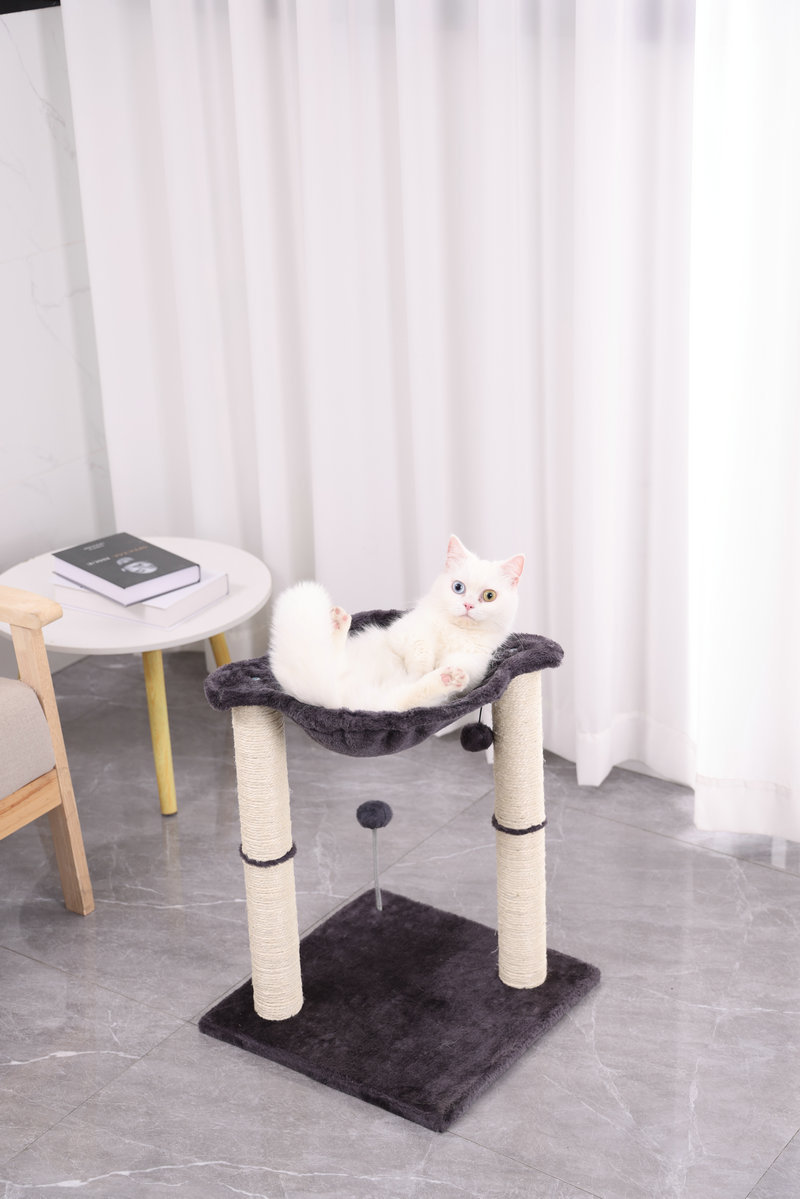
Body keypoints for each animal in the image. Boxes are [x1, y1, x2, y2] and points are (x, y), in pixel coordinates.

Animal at [268, 534, 524, 712]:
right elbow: (421, 649)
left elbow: (461, 668)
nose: (469, 605)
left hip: (385, 703)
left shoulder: (474, 664)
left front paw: (446, 670)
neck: (454, 632)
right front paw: (421, 668)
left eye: (489, 596)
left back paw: (447, 678)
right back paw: (338, 622)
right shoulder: (405, 631)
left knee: (408, 696)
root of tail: (332, 699)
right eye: (458, 587)